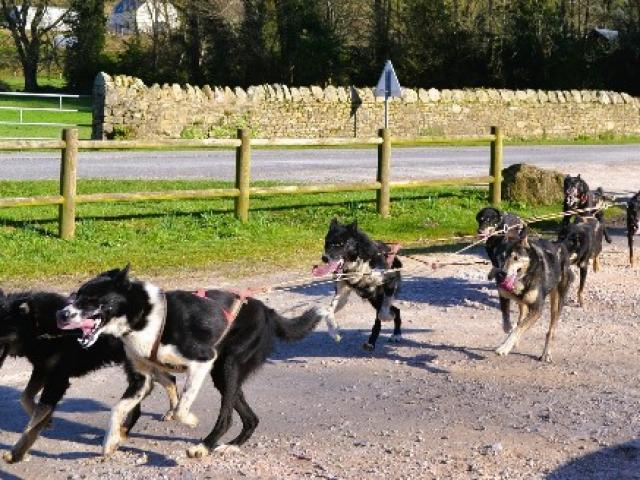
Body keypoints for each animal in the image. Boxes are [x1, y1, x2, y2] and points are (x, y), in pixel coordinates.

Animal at [0, 286, 178, 464]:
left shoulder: (57, 378)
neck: (39, 326)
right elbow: (25, 397)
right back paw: (169, 411)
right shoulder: (42, 369)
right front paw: (47, 420)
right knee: (166, 379)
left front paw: (16, 453)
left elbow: (36, 419)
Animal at [55, 268, 328, 460]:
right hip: (225, 376)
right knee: (251, 418)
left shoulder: (202, 360)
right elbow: (118, 409)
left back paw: (204, 447)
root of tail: (267, 311)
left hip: (226, 367)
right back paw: (231, 446)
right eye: (75, 295)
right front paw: (110, 441)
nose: (61, 314)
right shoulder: (142, 380)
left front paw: (190, 420)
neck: (143, 315)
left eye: (91, 299)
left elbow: (181, 407)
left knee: (226, 417)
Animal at [314, 219, 402, 350]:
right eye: (327, 242)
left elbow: (383, 312)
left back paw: (394, 334)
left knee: (390, 311)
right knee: (393, 310)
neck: (358, 262)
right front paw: (334, 331)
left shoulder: (389, 280)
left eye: (341, 243)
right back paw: (372, 341)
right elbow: (329, 311)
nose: (324, 258)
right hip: (374, 298)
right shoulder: (342, 293)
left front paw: (387, 317)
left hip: (378, 296)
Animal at [492, 231, 572, 362]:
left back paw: (546, 353)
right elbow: (506, 319)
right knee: (521, 318)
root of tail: (560, 244)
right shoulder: (503, 295)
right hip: (523, 303)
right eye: (501, 257)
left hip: (557, 302)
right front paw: (509, 331)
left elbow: (518, 329)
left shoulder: (537, 309)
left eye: (516, 258)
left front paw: (504, 347)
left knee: (551, 330)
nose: (502, 273)